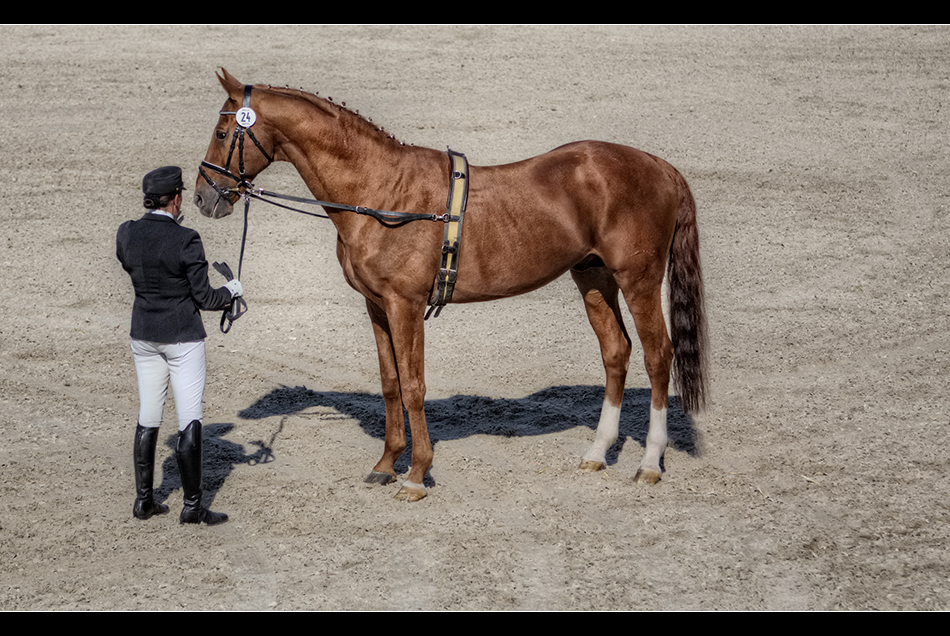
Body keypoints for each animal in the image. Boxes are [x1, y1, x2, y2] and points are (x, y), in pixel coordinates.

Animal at [193, 69, 708, 502]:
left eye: (221, 133)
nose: (202, 197)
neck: (380, 191)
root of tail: (660, 166)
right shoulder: (377, 306)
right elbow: (390, 384)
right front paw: (386, 464)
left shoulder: (405, 305)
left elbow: (413, 386)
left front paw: (417, 475)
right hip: (594, 277)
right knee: (615, 352)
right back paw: (598, 453)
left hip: (638, 282)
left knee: (657, 356)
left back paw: (649, 462)